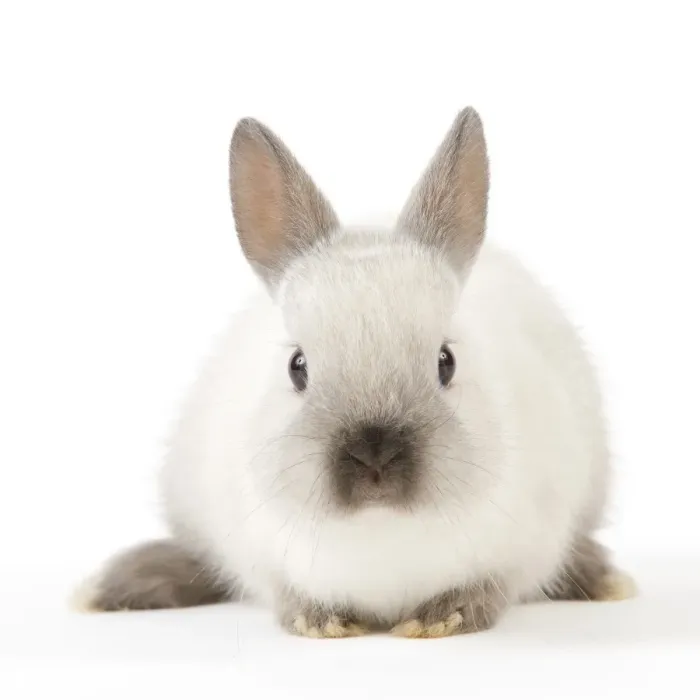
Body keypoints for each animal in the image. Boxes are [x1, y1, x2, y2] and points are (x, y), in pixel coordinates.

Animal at [74, 107, 635, 638]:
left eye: (446, 362)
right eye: (297, 367)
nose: (375, 457)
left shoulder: (531, 544)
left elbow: (490, 590)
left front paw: (439, 620)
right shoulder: (255, 554)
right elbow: (284, 592)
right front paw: (320, 622)